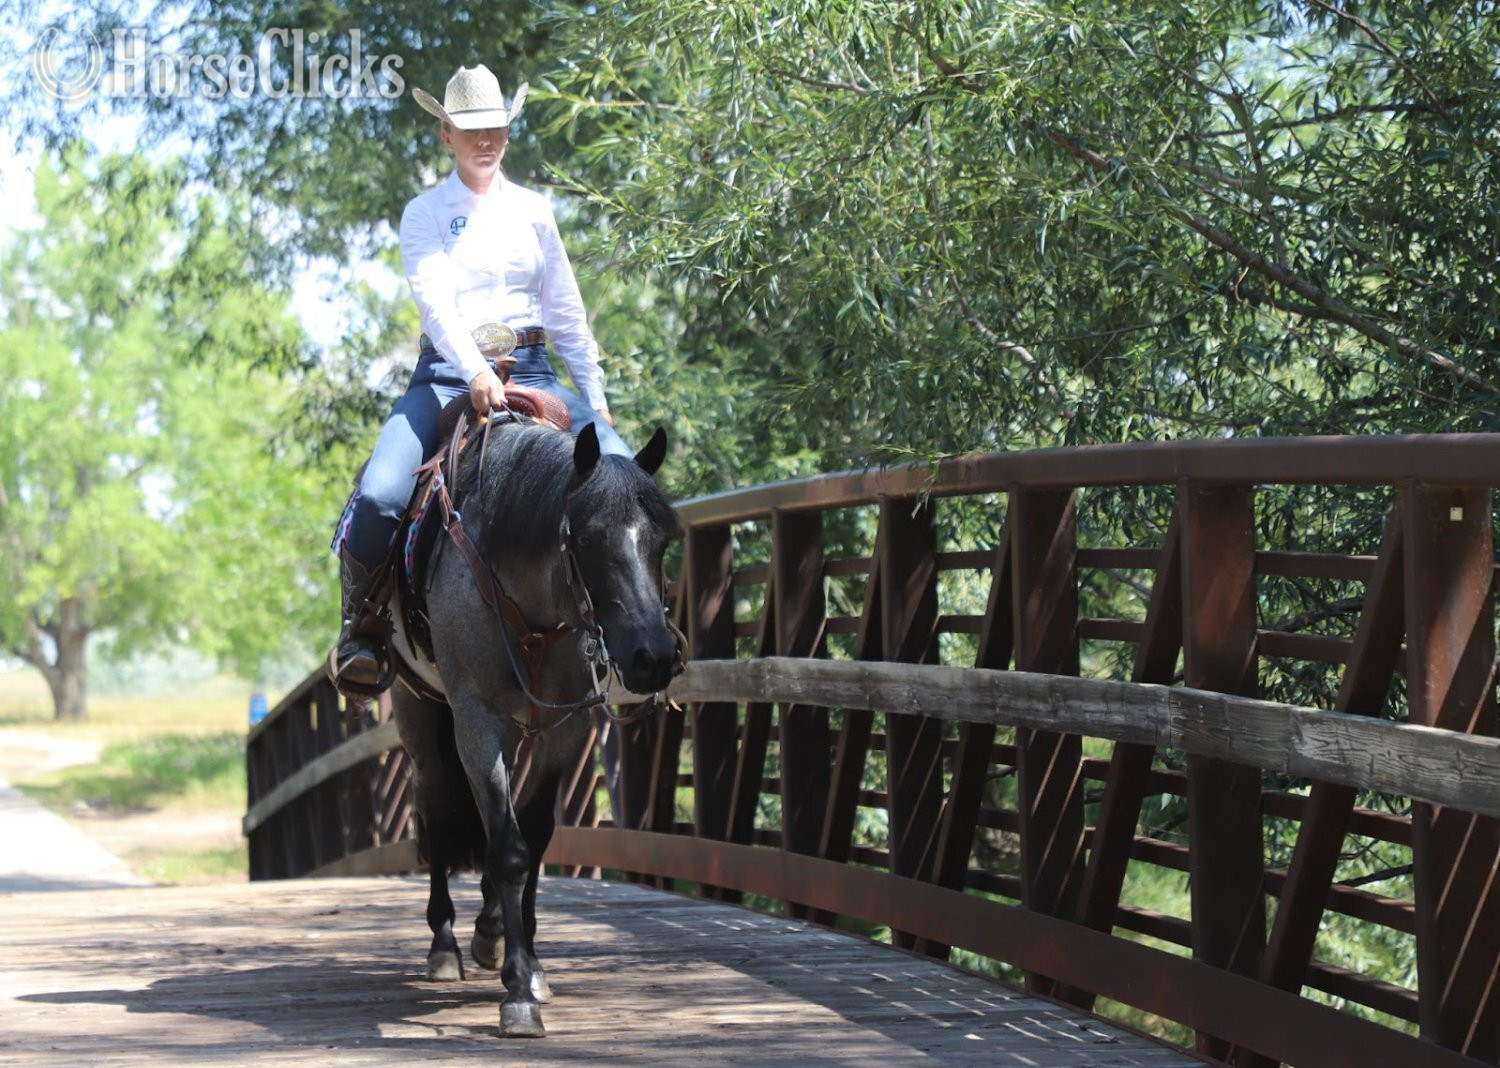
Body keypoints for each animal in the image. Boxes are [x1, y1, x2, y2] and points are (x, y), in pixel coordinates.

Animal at [387, 418, 681, 1038]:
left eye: (661, 541)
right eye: (587, 539)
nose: (653, 658)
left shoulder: (562, 725)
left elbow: (535, 833)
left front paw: (525, 961)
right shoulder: (477, 720)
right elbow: (508, 849)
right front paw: (518, 992)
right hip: (421, 721)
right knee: (436, 814)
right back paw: (444, 944)